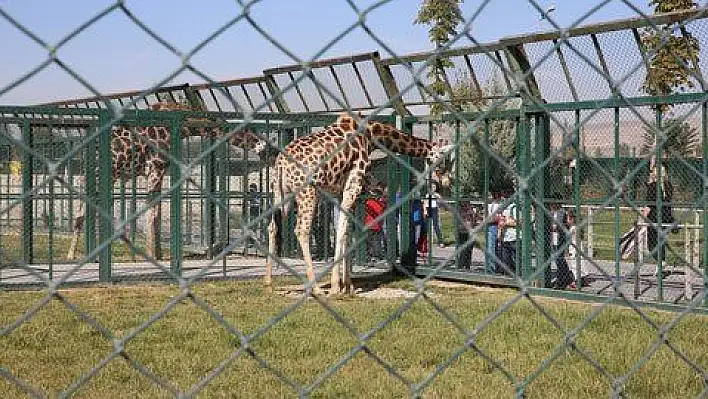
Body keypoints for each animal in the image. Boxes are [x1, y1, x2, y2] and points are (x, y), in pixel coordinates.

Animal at [68, 101, 266, 260]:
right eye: (249, 131)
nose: (263, 146)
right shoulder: (155, 168)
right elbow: (152, 212)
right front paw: (151, 254)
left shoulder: (159, 172)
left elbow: (157, 211)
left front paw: (159, 254)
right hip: (102, 176)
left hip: (97, 178)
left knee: (83, 211)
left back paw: (78, 255)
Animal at [266, 112, 454, 296]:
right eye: (444, 160)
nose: (447, 182)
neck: (371, 135)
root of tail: (281, 163)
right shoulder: (354, 184)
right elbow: (342, 231)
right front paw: (337, 286)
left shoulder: (341, 191)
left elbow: (346, 232)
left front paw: (348, 285)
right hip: (307, 193)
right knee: (302, 230)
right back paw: (316, 288)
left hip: (280, 193)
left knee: (273, 226)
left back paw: (269, 281)